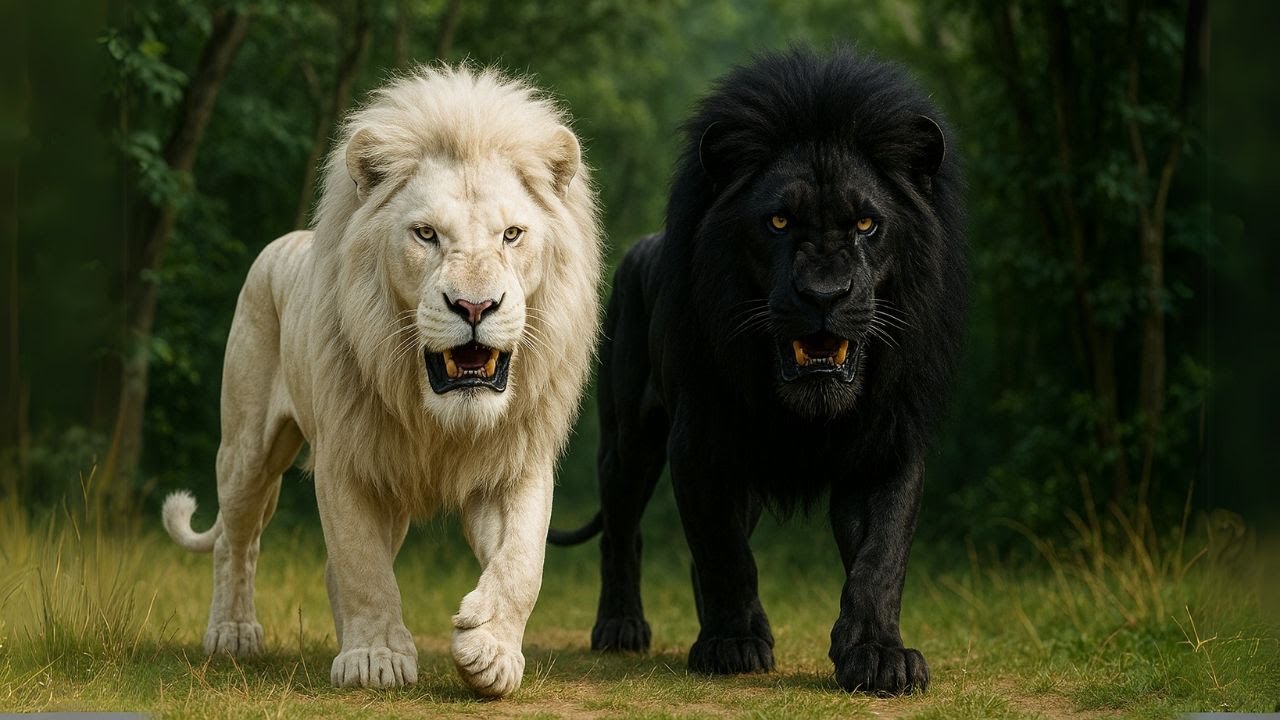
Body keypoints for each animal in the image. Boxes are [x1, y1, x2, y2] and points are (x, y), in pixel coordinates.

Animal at [161, 65, 602, 697]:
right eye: (426, 234)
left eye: (512, 235)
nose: (475, 307)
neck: (435, 411)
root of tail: (285, 242)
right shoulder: (348, 461)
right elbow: (363, 567)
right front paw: (375, 659)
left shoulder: (514, 463)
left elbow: (522, 563)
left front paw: (487, 649)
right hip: (246, 449)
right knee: (235, 539)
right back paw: (233, 633)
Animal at [549, 47, 967, 695]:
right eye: (778, 222)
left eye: (866, 225)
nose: (824, 294)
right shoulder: (701, 441)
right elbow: (725, 552)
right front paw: (734, 645)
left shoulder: (887, 444)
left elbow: (881, 557)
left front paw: (878, 655)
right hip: (627, 441)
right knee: (623, 531)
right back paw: (620, 628)